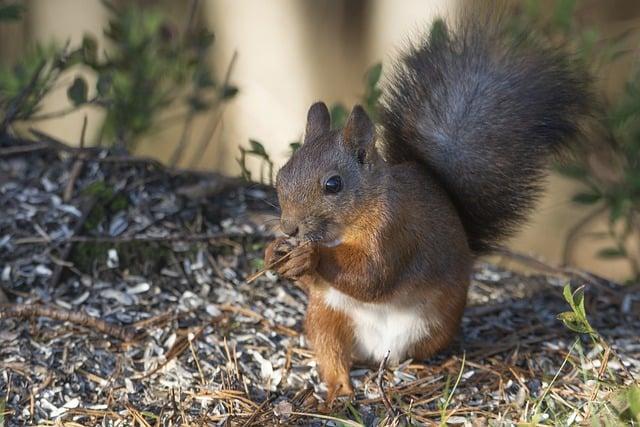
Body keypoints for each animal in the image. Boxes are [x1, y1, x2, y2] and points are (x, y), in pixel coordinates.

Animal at [264, 11, 592, 402]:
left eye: (333, 184)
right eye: (283, 173)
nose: (290, 228)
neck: (348, 225)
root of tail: (376, 351)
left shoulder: (395, 231)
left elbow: (372, 276)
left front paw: (310, 256)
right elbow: (321, 284)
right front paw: (275, 254)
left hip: (432, 324)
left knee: (414, 351)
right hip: (325, 317)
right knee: (332, 352)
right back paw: (339, 388)